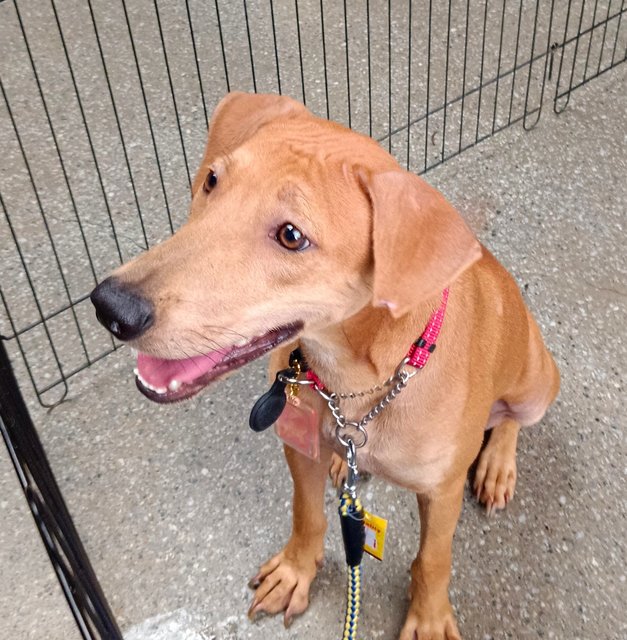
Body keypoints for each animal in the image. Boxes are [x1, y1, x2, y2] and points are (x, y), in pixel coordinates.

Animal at [89, 92, 560, 636]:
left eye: (292, 236)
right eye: (212, 181)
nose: (111, 307)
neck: (358, 379)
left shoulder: (441, 494)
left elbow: (434, 559)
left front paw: (428, 617)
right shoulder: (299, 449)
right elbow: (307, 515)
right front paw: (296, 571)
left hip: (535, 383)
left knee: (510, 420)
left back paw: (498, 463)